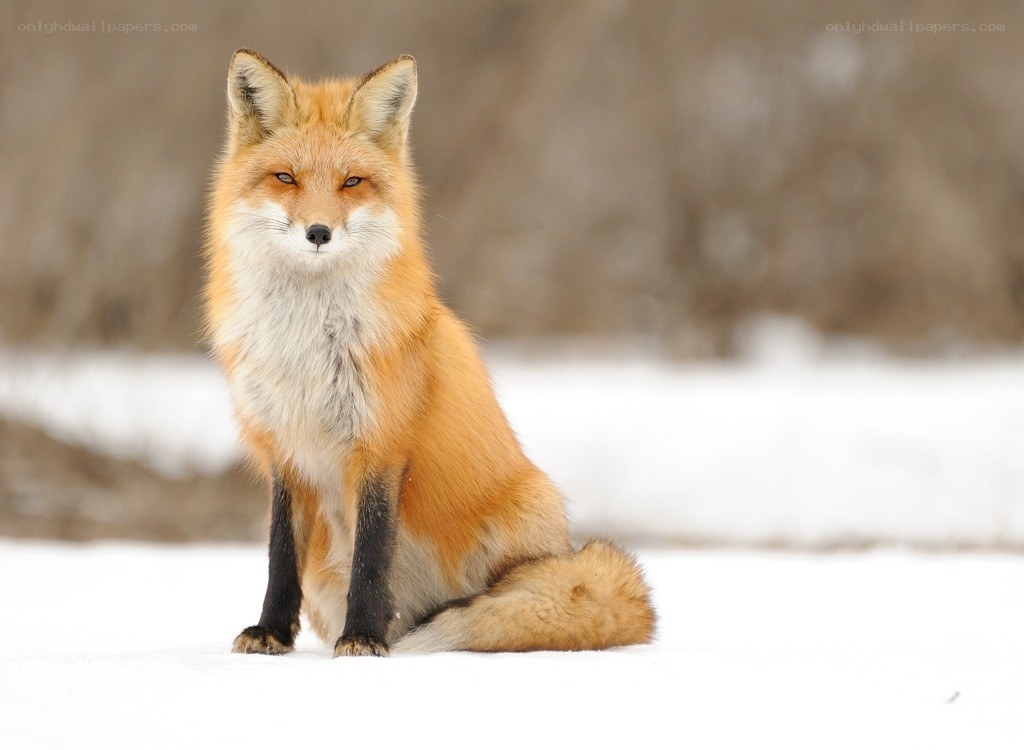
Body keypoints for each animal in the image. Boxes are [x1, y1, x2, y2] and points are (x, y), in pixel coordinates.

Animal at [204, 49, 655, 656]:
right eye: (285, 177)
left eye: (352, 181)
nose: (319, 232)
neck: (307, 347)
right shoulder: (285, 449)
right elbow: (279, 556)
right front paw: (270, 632)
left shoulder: (382, 443)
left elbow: (372, 556)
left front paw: (363, 639)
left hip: (524, 512)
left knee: (498, 600)